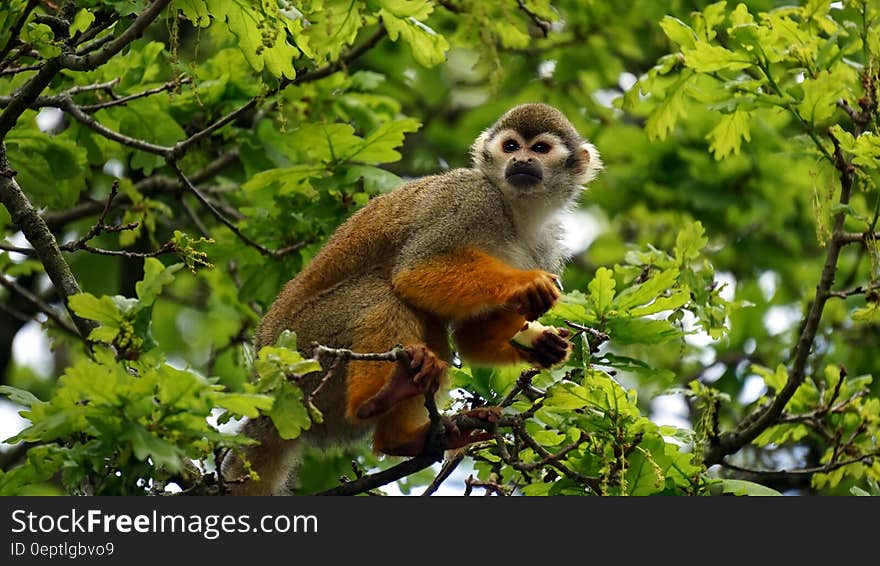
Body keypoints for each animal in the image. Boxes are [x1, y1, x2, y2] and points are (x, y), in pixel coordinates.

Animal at [223, 104, 600, 494]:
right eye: (511, 146)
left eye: (539, 149)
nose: (522, 160)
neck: (516, 213)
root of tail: (267, 387)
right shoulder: (471, 199)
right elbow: (413, 271)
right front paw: (525, 284)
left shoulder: (548, 246)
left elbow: (470, 336)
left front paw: (542, 345)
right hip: (303, 349)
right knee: (383, 294)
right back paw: (376, 399)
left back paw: (403, 436)